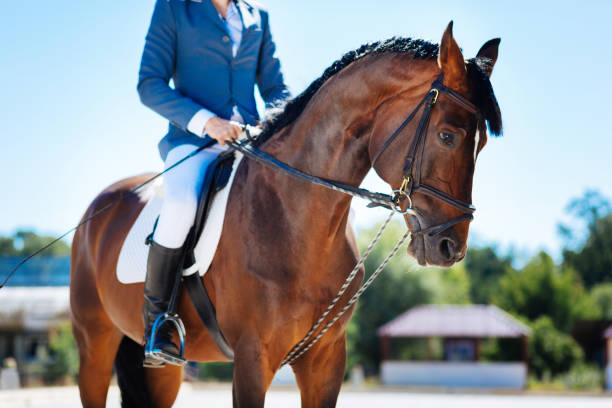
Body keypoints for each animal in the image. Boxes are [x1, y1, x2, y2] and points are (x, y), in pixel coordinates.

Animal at [70, 23, 502, 408]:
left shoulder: (326, 359)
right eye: (447, 135)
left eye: (482, 144)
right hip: (94, 346)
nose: (450, 247)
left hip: (163, 370)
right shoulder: (252, 358)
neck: (297, 221)